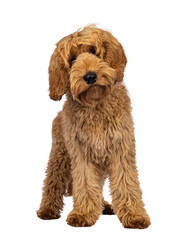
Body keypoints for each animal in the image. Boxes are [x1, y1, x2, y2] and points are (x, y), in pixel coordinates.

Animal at [36, 24, 151, 229]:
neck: (95, 104)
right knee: (53, 181)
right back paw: (47, 209)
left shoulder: (120, 149)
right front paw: (83, 214)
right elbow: (85, 184)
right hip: (60, 155)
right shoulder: (81, 153)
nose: (90, 77)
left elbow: (126, 183)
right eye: (72, 59)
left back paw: (104, 205)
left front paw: (134, 215)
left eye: (93, 51)